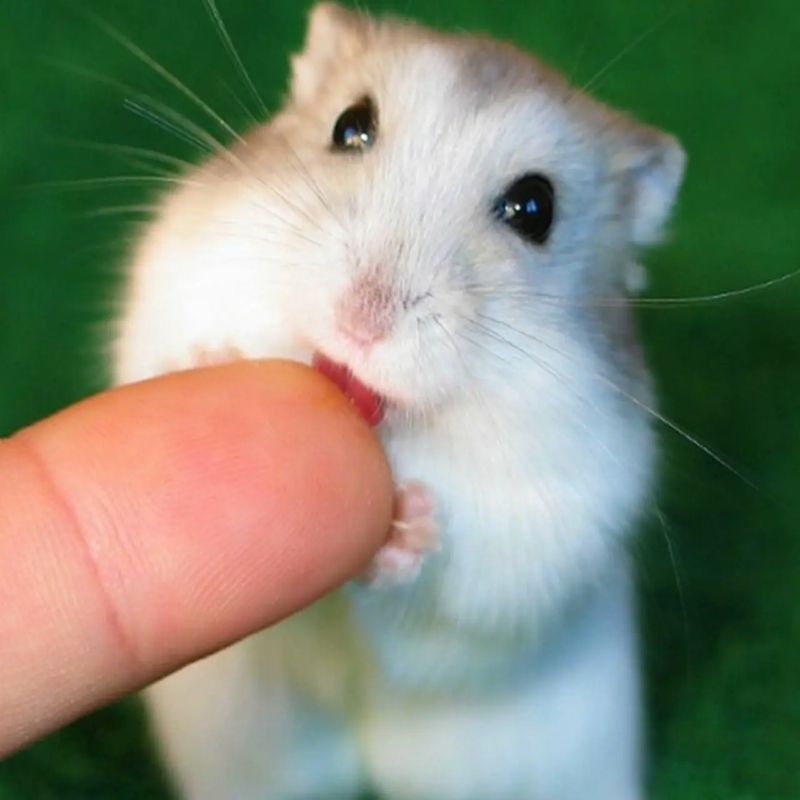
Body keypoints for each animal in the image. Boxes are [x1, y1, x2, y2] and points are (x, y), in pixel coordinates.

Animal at [113, 4, 685, 799]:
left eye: (535, 208)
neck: (395, 426)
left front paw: (409, 524)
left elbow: (443, 597)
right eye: (351, 125)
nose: (362, 320)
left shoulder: (547, 535)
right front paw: (214, 361)